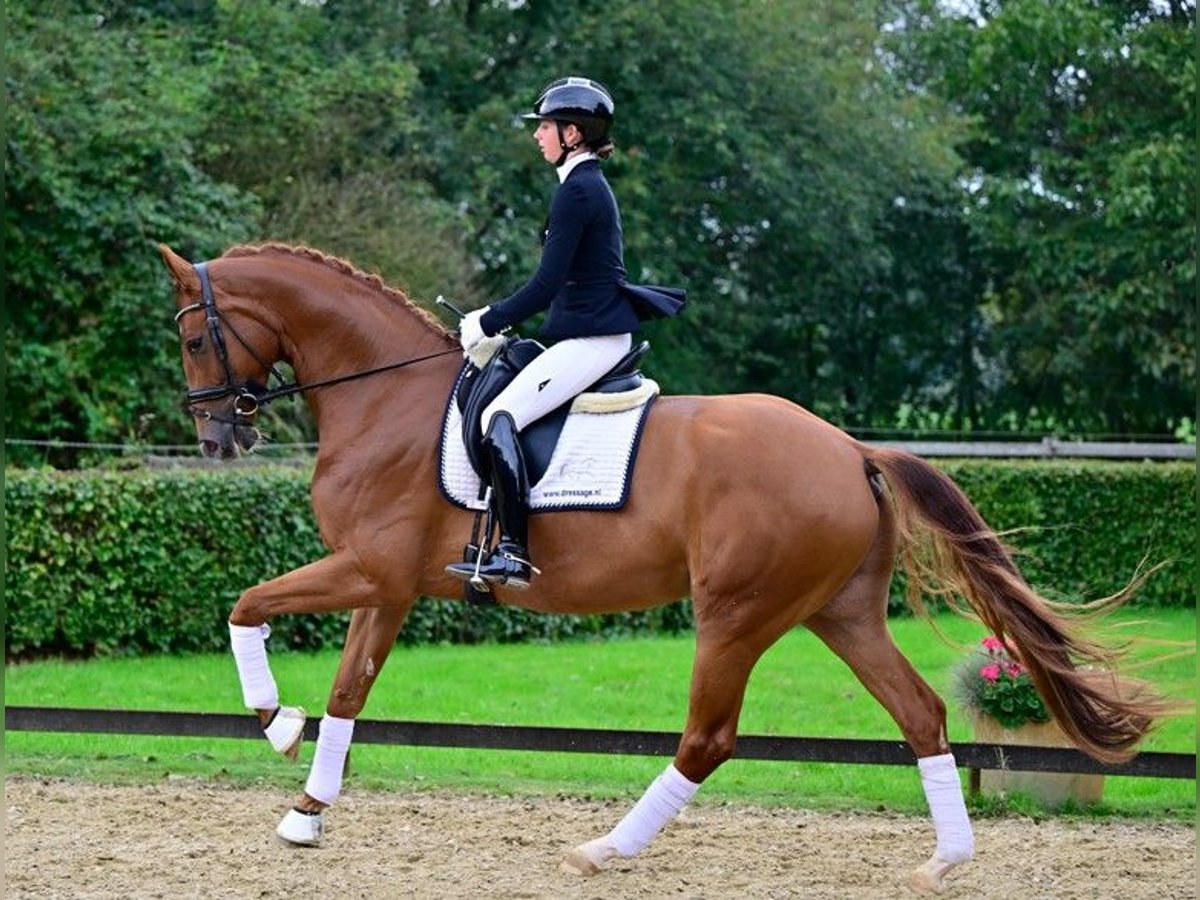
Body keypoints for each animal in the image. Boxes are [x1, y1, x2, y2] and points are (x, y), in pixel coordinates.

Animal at [159, 243, 1171, 897]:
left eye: (194, 337)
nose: (216, 438)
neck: (386, 396)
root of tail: (849, 449)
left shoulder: (366, 567)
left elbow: (247, 606)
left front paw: (276, 725)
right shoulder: (391, 583)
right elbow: (348, 690)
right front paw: (306, 807)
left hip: (735, 613)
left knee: (708, 740)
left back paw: (604, 850)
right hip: (840, 613)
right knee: (919, 712)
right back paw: (946, 861)